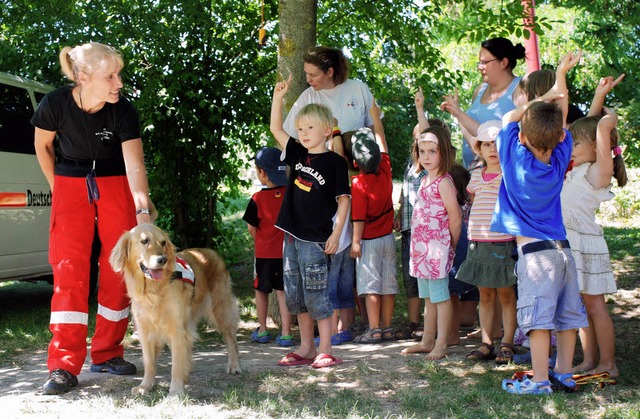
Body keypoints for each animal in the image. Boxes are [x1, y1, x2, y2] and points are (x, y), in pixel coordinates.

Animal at [109, 225, 241, 396]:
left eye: (163, 242)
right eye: (145, 241)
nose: (162, 260)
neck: (153, 291)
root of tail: (210, 252)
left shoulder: (176, 329)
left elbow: (176, 364)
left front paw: (176, 389)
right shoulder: (145, 330)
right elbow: (149, 362)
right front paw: (145, 386)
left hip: (220, 308)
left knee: (231, 339)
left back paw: (234, 365)